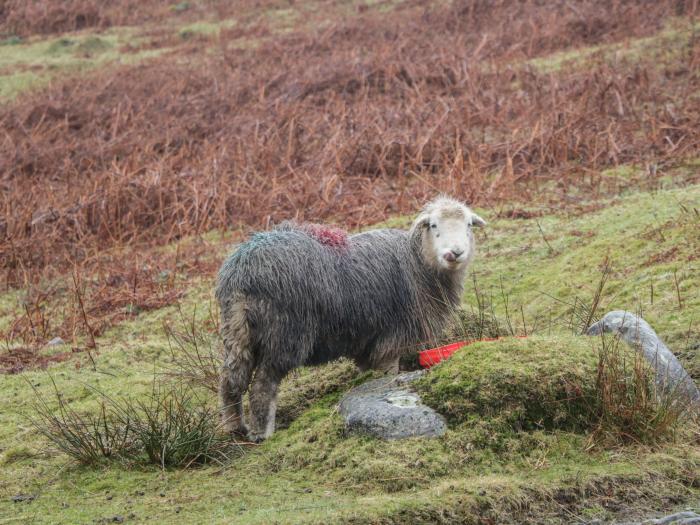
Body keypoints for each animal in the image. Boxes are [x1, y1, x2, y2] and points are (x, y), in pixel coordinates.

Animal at [216, 194, 484, 440]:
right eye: (434, 225)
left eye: (468, 225)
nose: (455, 253)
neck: (418, 263)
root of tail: (244, 271)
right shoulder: (392, 338)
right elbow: (388, 374)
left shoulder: (367, 342)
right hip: (285, 333)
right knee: (263, 386)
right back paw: (263, 434)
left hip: (237, 330)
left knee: (230, 380)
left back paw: (234, 428)